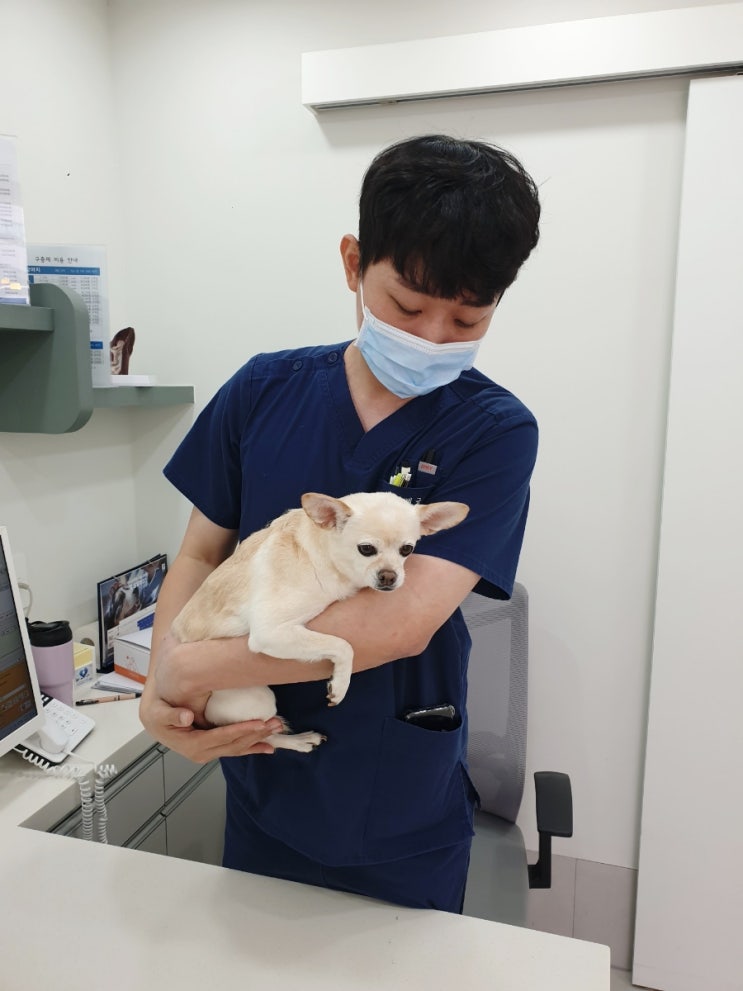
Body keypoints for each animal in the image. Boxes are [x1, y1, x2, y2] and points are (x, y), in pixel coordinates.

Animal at [171, 491, 468, 752]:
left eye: (407, 550)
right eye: (366, 549)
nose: (389, 576)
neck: (328, 563)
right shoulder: (271, 632)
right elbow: (343, 645)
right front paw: (340, 684)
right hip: (256, 699)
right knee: (265, 736)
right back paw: (298, 741)